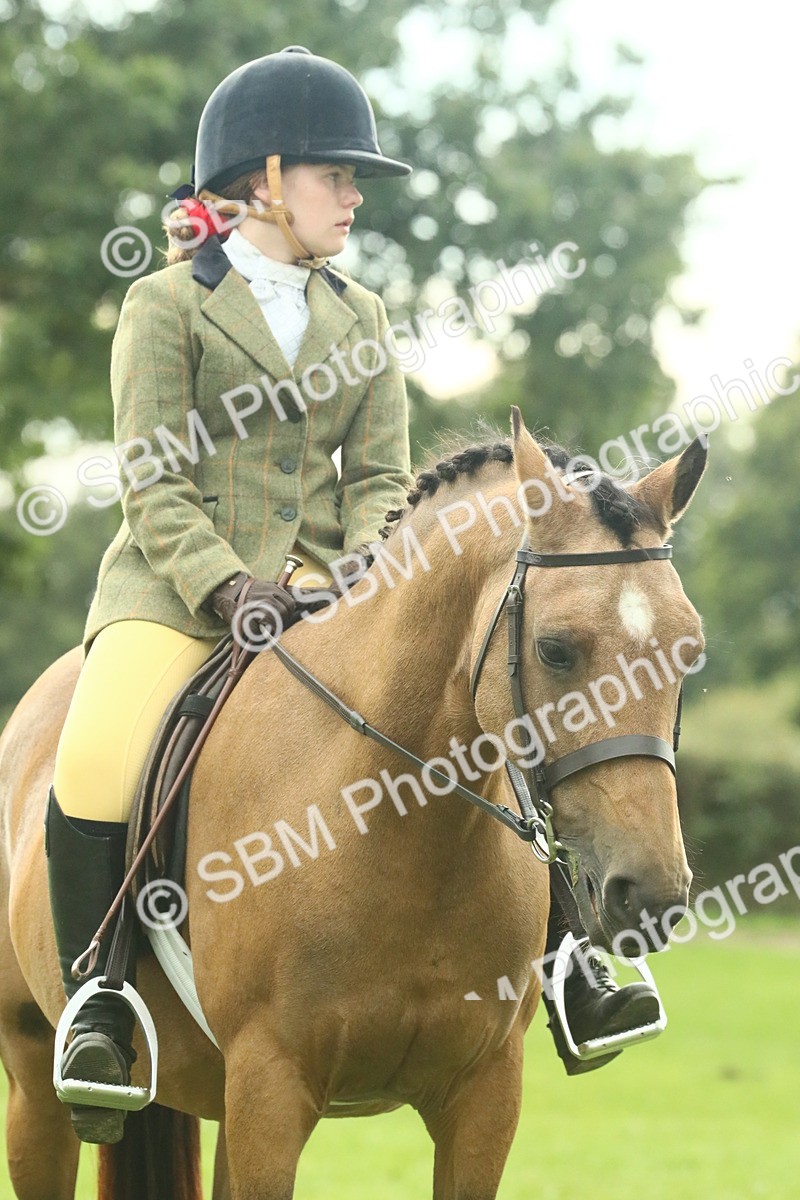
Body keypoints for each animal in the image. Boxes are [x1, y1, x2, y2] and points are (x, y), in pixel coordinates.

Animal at [0, 409, 706, 1200]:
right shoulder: (270, 1091)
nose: (652, 894)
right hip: (35, 1083)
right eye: (555, 650)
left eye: (691, 651)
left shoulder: (484, 1094)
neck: (400, 827)